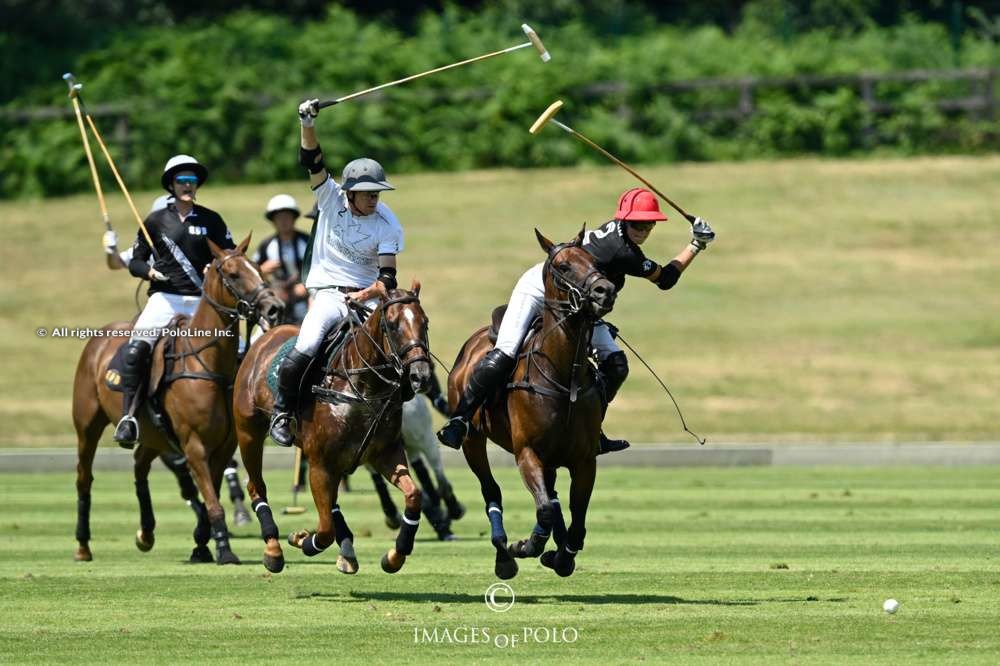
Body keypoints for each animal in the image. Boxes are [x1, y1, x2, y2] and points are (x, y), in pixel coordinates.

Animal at [72, 236, 284, 564]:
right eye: (233, 274)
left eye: (259, 268)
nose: (274, 309)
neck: (209, 364)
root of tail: (100, 336)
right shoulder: (194, 445)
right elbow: (212, 502)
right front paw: (224, 550)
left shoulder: (223, 446)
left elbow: (211, 496)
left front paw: (202, 546)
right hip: (87, 426)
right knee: (85, 478)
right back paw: (83, 545)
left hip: (153, 435)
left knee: (139, 466)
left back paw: (146, 533)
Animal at [236, 278, 436, 572]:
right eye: (393, 324)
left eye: (425, 322)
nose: (420, 375)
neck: (363, 388)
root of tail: (267, 336)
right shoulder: (320, 463)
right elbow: (325, 530)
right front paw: (302, 539)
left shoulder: (385, 453)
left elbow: (414, 495)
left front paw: (394, 556)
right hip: (248, 433)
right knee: (256, 486)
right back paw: (273, 549)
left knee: (331, 503)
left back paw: (347, 551)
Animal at [448, 227, 616, 576]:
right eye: (564, 267)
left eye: (595, 262)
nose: (604, 291)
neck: (564, 380)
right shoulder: (527, 453)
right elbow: (545, 510)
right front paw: (526, 545)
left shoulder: (584, 460)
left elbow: (576, 518)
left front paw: (562, 556)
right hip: (473, 440)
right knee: (491, 489)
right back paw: (504, 556)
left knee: (551, 496)